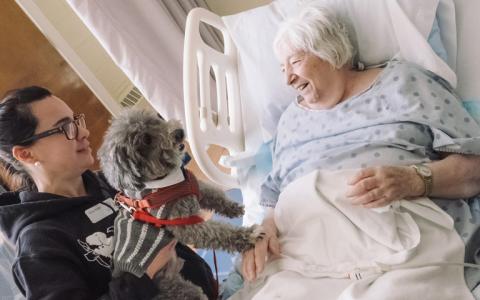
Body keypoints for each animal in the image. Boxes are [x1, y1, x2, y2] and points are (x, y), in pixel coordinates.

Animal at [97, 108, 262, 300]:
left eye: (155, 119)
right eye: (146, 140)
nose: (178, 133)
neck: (167, 182)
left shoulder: (193, 186)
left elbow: (215, 195)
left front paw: (234, 208)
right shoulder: (184, 226)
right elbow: (219, 232)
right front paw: (248, 236)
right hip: (170, 286)